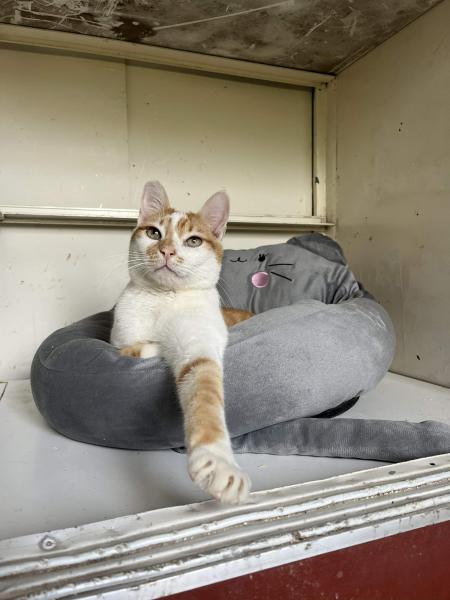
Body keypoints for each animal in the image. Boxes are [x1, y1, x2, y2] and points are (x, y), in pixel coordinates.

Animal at [111, 181, 253, 504]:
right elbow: (133, 348)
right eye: (154, 233)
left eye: (193, 241)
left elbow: (204, 389)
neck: (164, 299)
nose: (167, 250)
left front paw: (219, 461)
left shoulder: (200, 345)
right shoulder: (120, 339)